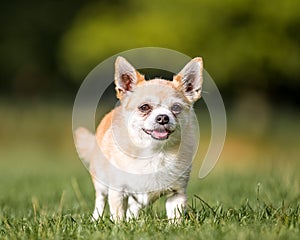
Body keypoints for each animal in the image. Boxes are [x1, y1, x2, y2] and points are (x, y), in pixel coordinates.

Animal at [74, 56, 204, 221]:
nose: (163, 117)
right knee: (100, 200)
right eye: (144, 107)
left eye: (176, 108)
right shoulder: (117, 191)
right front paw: (119, 226)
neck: (154, 151)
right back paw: (96, 220)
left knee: (133, 207)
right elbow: (117, 215)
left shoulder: (177, 194)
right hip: (101, 180)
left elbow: (175, 217)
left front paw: (175, 226)